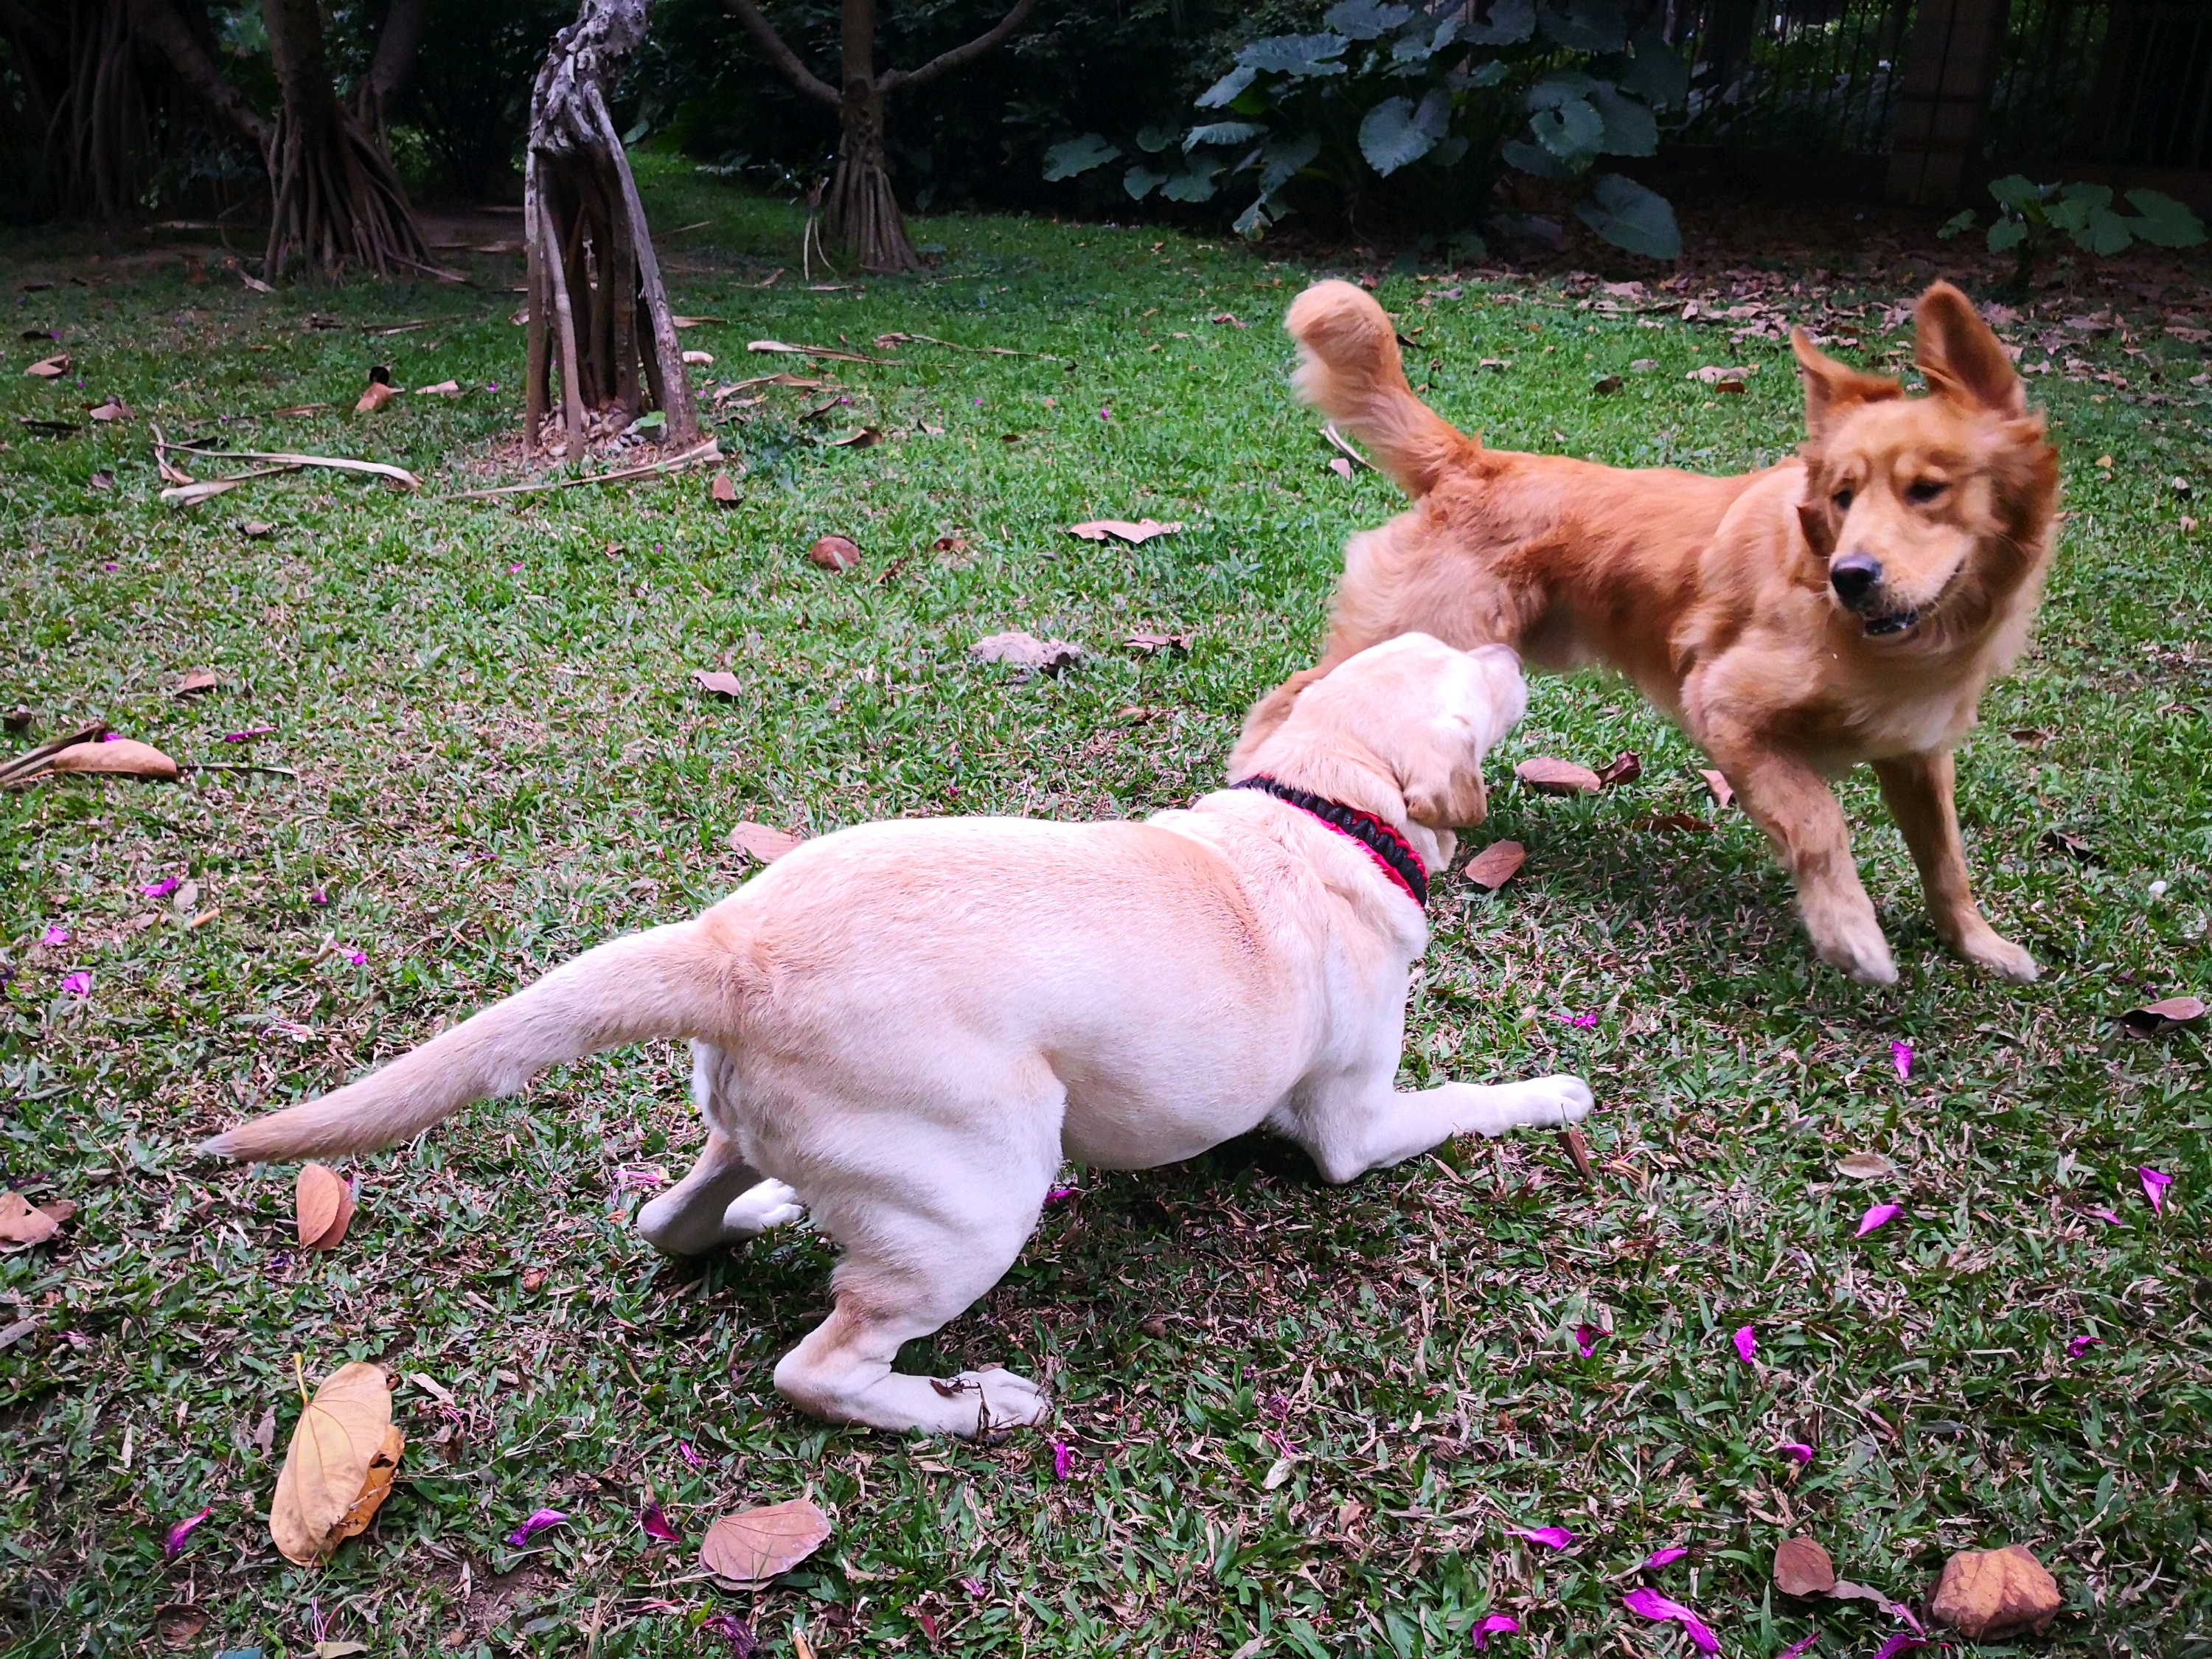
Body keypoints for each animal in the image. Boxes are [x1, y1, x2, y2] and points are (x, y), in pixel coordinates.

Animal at [208, 628, 1593, 1433]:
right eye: (1478, 672)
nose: (1513, 633)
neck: (1316, 806)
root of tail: (734, 950)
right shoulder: (1356, 1125)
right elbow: (1466, 1101)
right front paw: (1558, 1094)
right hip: (986, 1192)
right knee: (818, 1370)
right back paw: (964, 1405)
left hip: (792, 1137)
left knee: (674, 1216)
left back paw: (768, 1208)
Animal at [1239, 277, 2062, 987]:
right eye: (1844, 494)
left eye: (1927, 490)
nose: (1851, 575)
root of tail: (1477, 462)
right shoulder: (1725, 707)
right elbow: (1818, 821)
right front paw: (1850, 932)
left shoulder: (1917, 751)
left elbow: (1946, 857)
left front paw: (1977, 942)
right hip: (1423, 631)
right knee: (1295, 698)